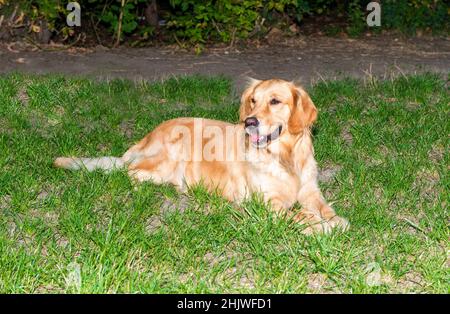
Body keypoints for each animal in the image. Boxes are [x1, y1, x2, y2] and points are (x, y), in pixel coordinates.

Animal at [55, 79, 348, 234]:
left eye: (275, 101)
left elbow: (324, 208)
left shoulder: (310, 190)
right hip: (174, 148)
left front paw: (336, 220)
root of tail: (147, 136)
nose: (249, 122)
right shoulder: (268, 203)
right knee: (132, 172)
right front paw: (321, 226)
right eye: (252, 101)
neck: (284, 158)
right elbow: (301, 216)